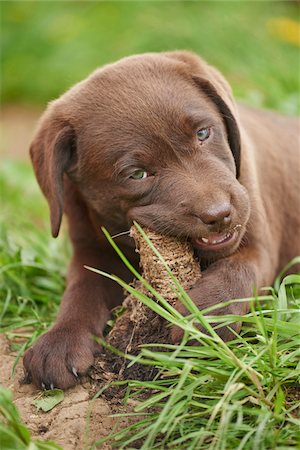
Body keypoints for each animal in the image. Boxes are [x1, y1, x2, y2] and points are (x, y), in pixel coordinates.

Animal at [24, 51, 300, 390]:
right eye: (137, 174)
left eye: (203, 134)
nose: (219, 214)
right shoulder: (91, 251)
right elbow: (80, 290)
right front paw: (59, 341)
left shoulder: (257, 242)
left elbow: (237, 273)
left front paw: (202, 319)